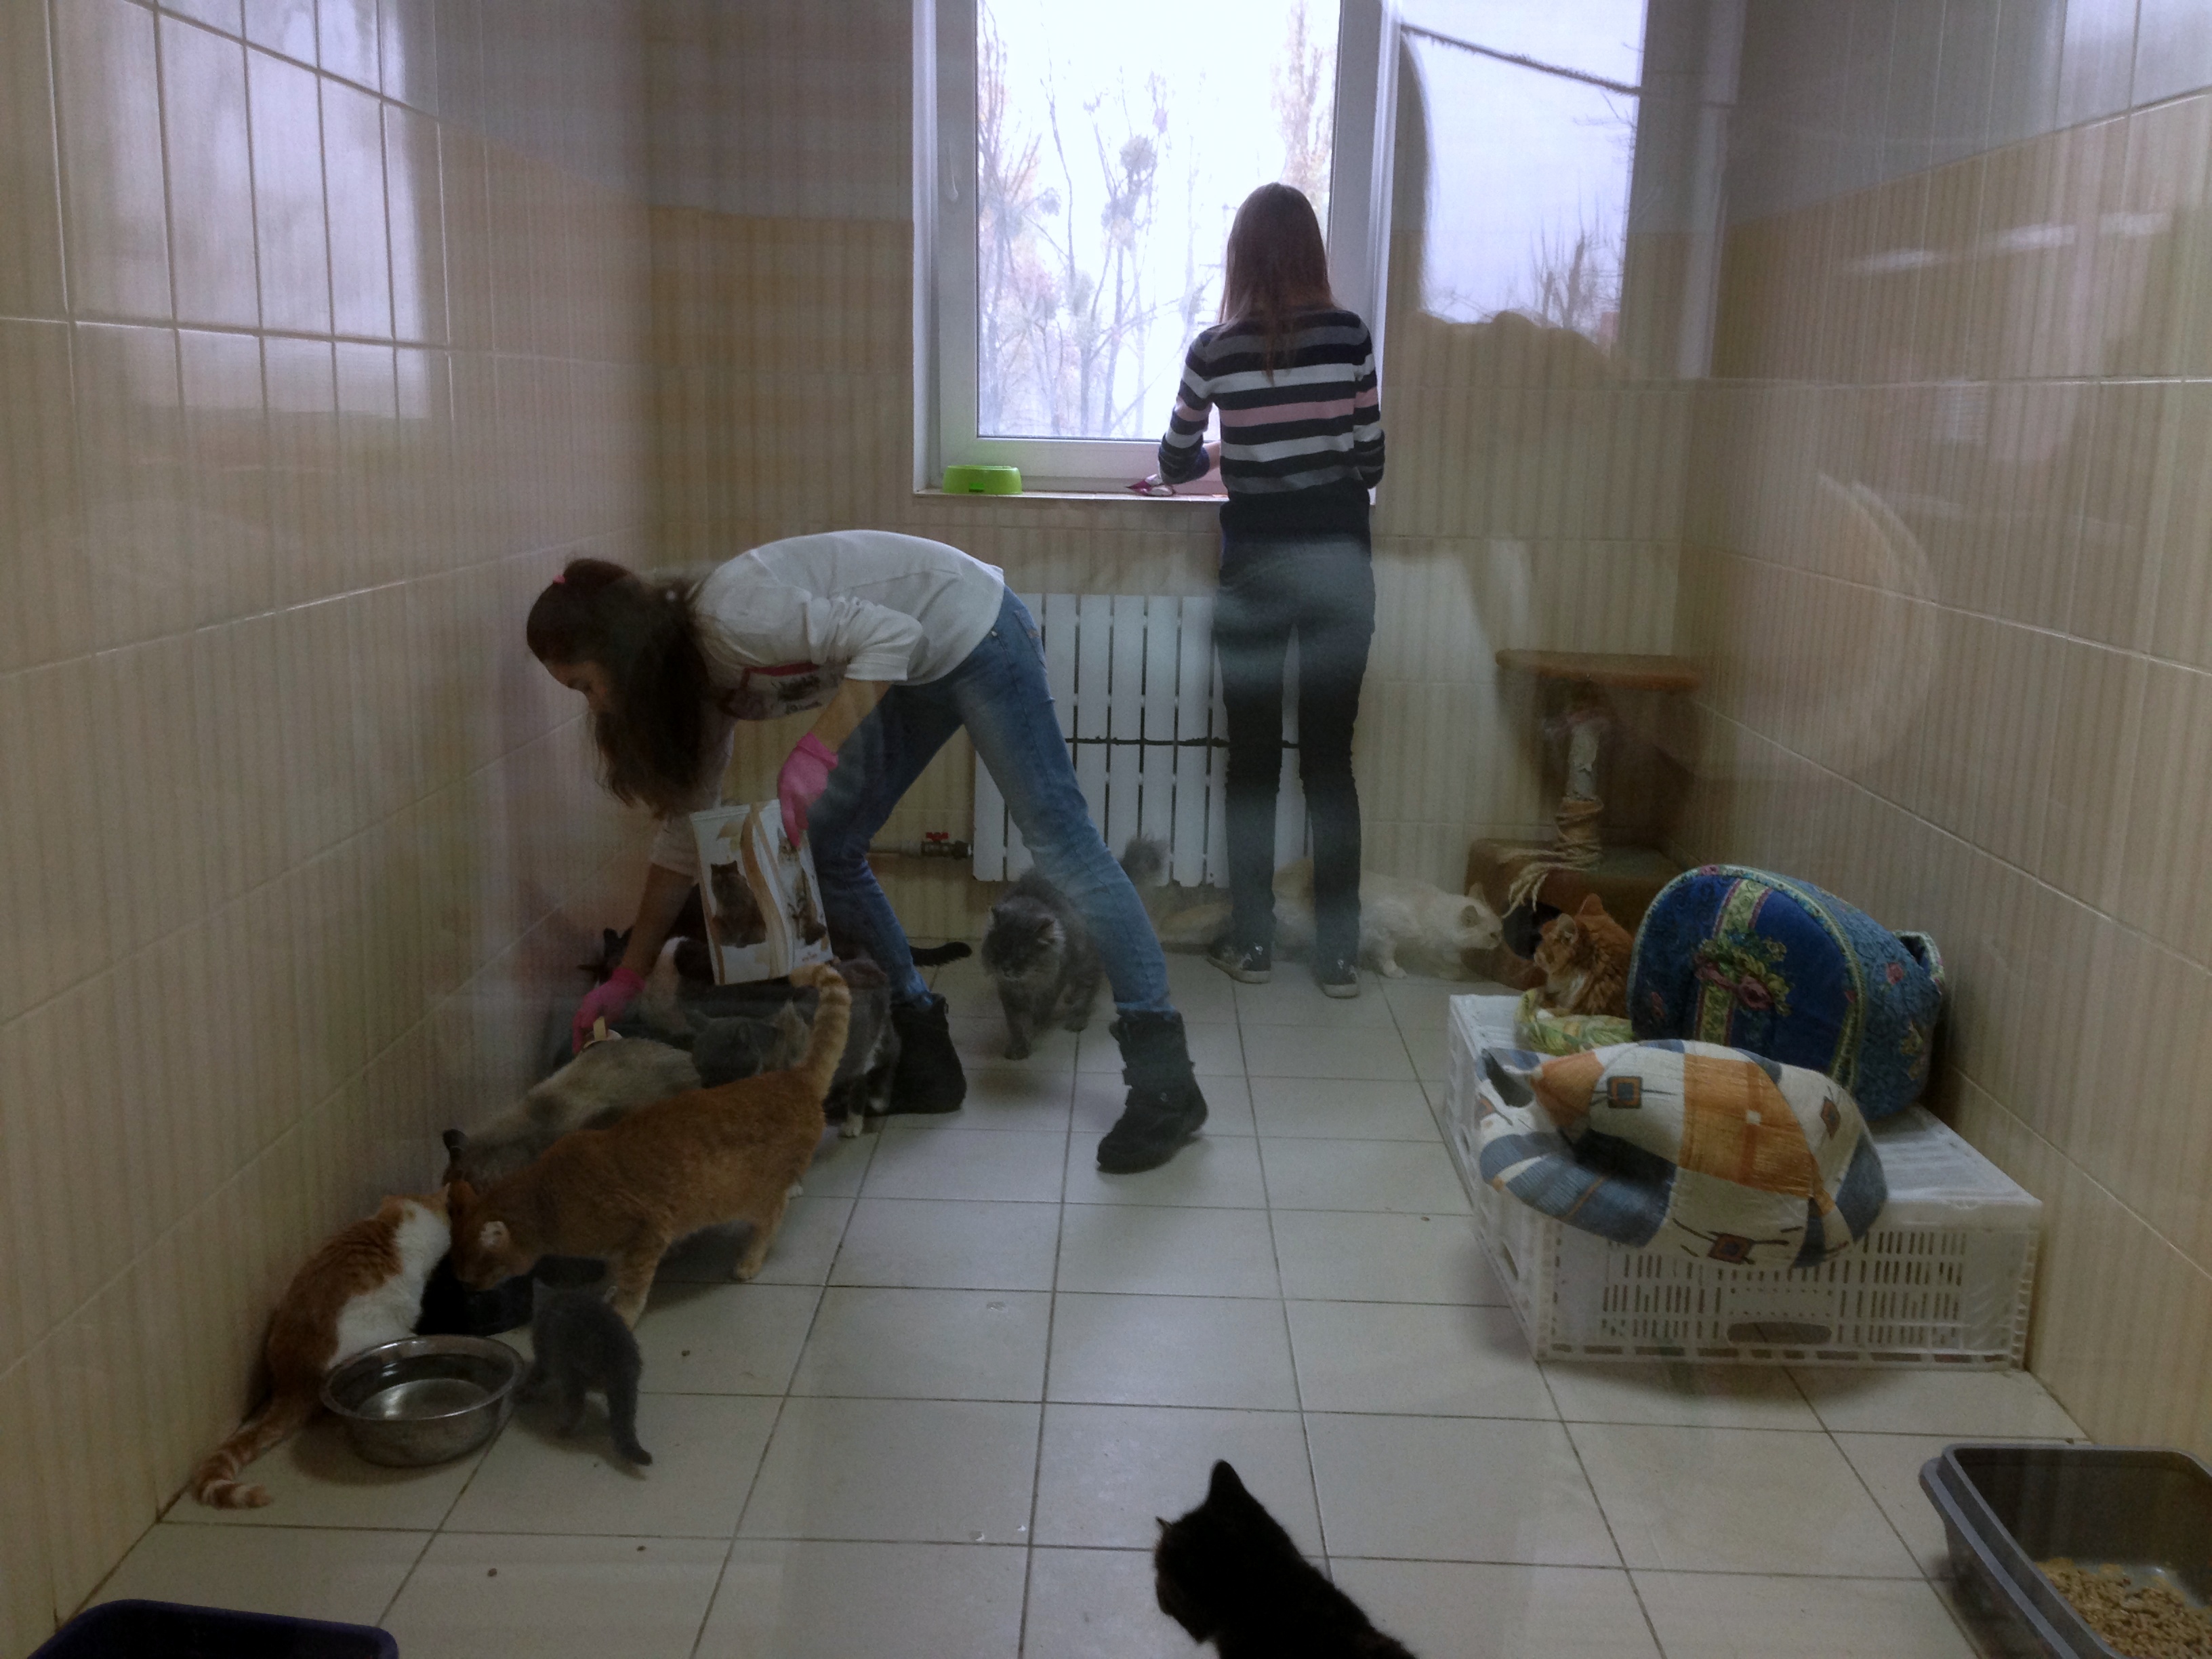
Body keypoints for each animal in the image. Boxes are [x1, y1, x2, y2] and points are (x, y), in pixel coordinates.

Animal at [520, 1290, 652, 1466]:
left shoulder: (544, 1358)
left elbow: (534, 1377)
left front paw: (522, 1393)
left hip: (572, 1374)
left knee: (576, 1407)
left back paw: (564, 1430)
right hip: (628, 1381)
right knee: (625, 1411)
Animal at [980, 868, 1105, 1059]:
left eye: (1021, 955)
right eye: (999, 950)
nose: (1005, 968)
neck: (1029, 981)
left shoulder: (1055, 981)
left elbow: (1043, 1007)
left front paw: (1038, 1023)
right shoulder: (1009, 992)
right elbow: (1016, 1022)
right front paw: (1019, 1046)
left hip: (1085, 960)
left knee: (1088, 988)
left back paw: (1077, 1017)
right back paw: (1070, 997)